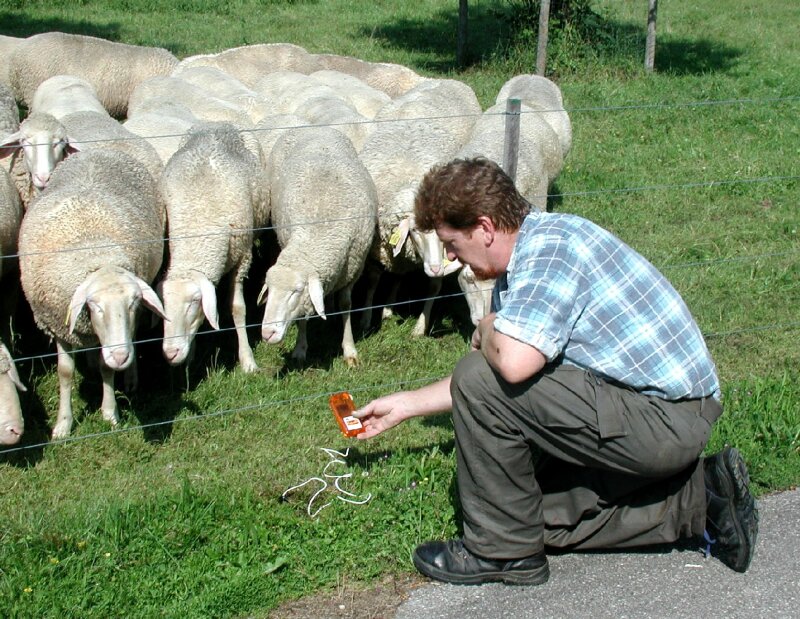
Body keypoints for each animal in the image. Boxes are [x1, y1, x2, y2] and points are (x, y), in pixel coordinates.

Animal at [18, 149, 166, 440]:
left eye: (133, 302)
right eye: (94, 305)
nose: (120, 356)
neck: (96, 253)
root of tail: (100, 150)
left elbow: (106, 367)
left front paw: (109, 413)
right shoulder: (58, 325)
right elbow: (65, 372)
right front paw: (63, 425)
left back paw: (130, 377)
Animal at [158, 121, 270, 372]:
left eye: (193, 303)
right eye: (163, 308)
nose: (170, 354)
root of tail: (217, 122)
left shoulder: (242, 258)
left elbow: (238, 308)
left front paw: (248, 361)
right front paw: (190, 357)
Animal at [260, 127, 378, 368]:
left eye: (296, 291)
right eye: (269, 288)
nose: (267, 334)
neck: (317, 232)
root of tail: (313, 127)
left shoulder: (353, 269)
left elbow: (346, 304)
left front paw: (349, 350)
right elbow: (304, 316)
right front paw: (300, 349)